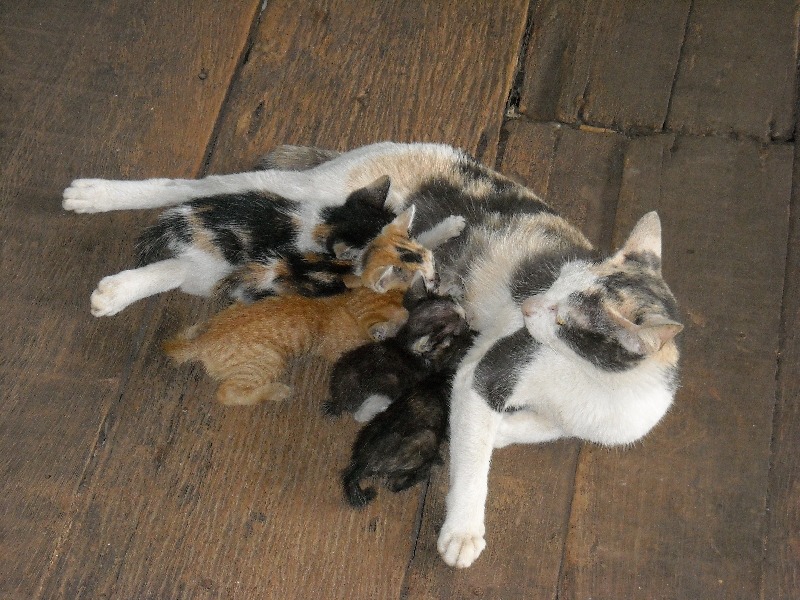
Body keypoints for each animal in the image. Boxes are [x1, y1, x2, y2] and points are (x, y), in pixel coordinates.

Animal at [65, 141, 684, 568]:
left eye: (565, 316)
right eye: (552, 287)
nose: (530, 305)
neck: (596, 383)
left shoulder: (574, 422)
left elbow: (524, 431)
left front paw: (487, 435)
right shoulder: (485, 369)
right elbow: (474, 460)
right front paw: (463, 531)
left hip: (276, 249)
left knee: (199, 266)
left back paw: (116, 287)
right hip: (300, 195)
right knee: (195, 183)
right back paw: (94, 198)